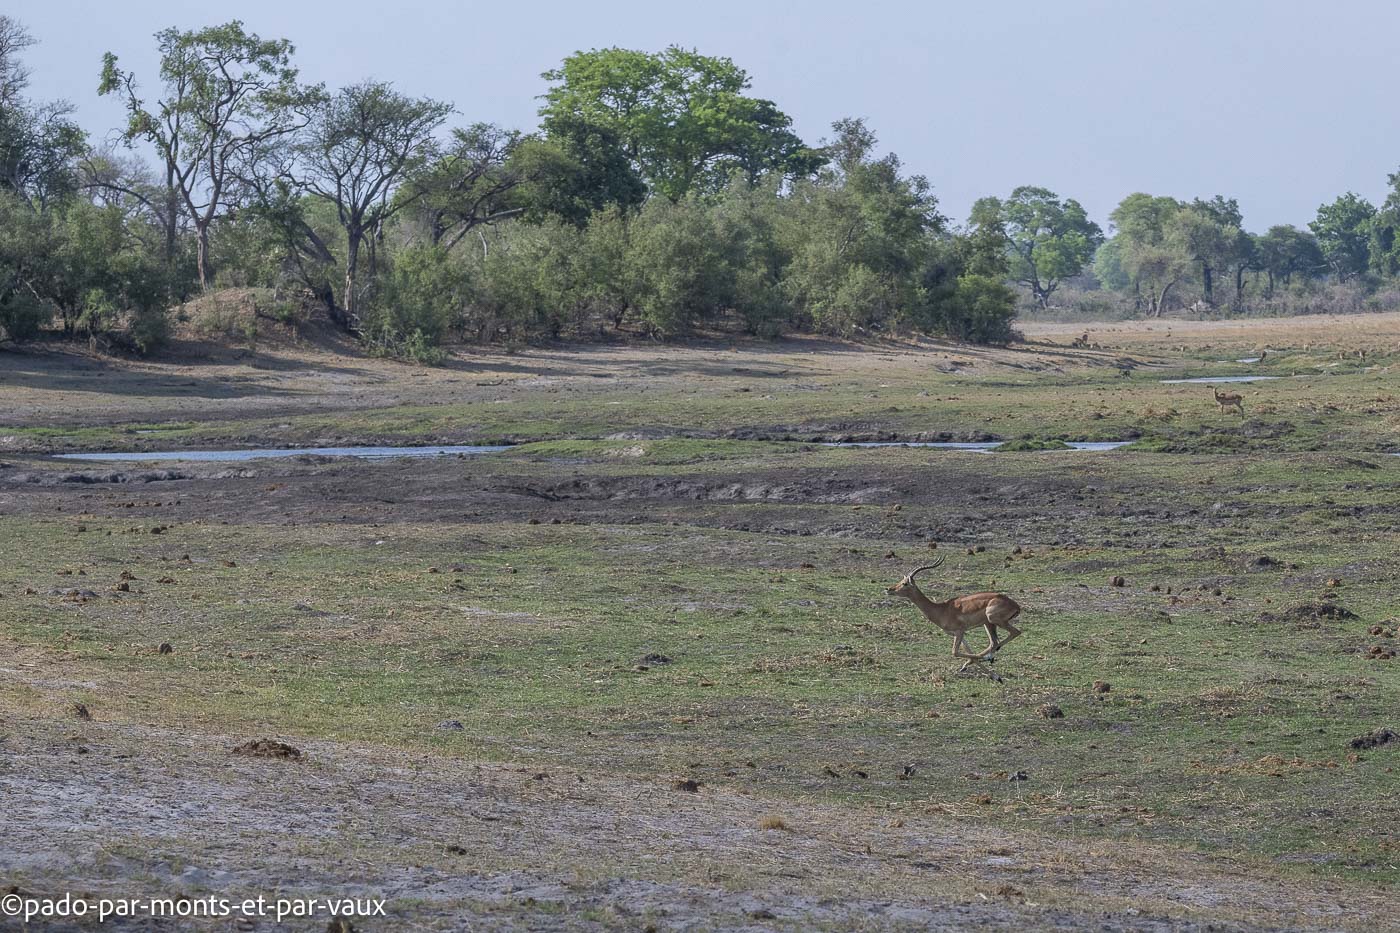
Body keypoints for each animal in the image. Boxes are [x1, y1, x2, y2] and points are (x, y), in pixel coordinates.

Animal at [888, 557, 1023, 679]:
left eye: (905, 583)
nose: (889, 589)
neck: (941, 609)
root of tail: (1015, 605)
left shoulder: (959, 631)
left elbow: (955, 652)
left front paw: (986, 662)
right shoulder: (957, 634)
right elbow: (969, 651)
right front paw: (995, 676)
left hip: (993, 619)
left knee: (1015, 632)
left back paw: (989, 657)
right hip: (988, 624)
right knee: (994, 642)